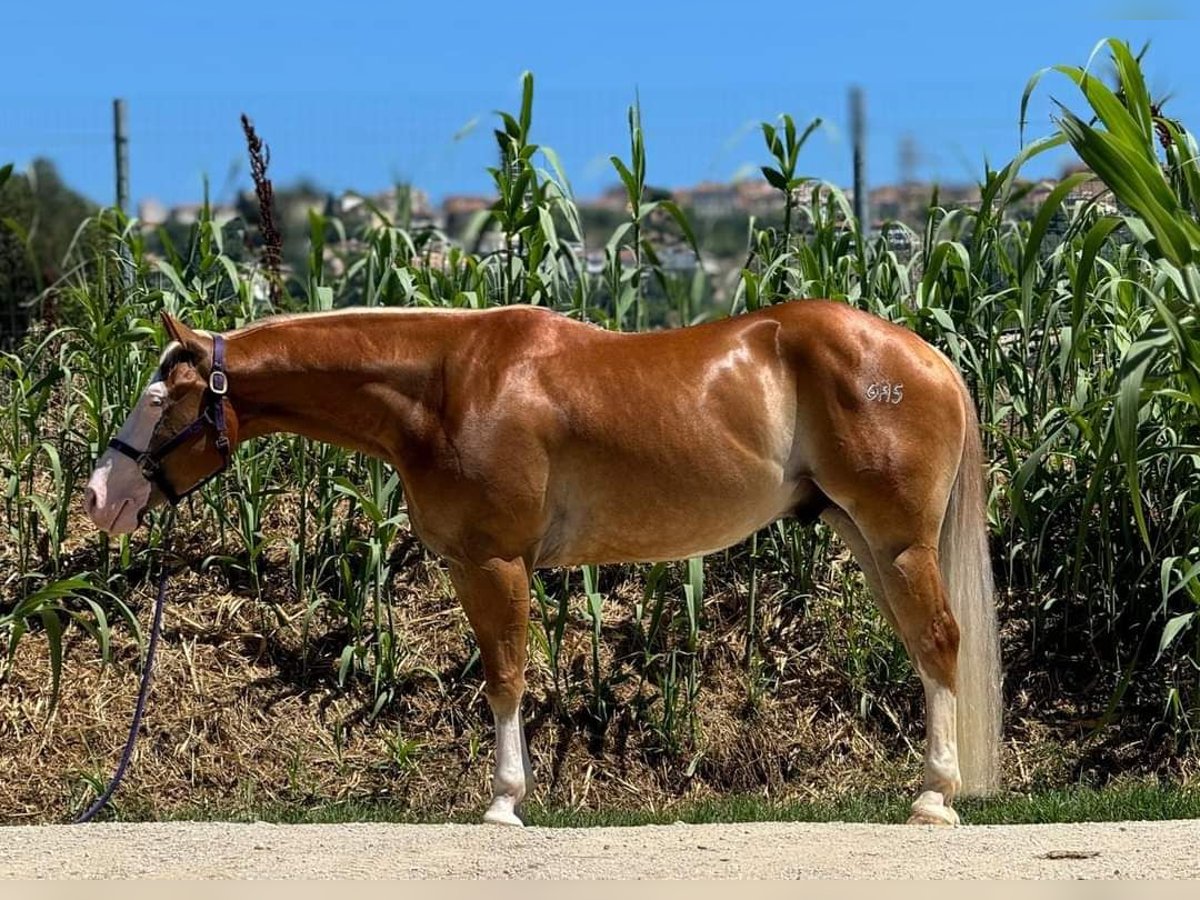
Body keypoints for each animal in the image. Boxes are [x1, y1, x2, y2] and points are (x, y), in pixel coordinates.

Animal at [84, 300, 1003, 830]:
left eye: (162, 400)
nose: (99, 496)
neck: (445, 386)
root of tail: (930, 359)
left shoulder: (494, 563)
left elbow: (505, 679)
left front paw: (503, 804)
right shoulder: (475, 565)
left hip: (897, 542)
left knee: (940, 643)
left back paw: (933, 799)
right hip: (866, 540)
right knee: (925, 648)